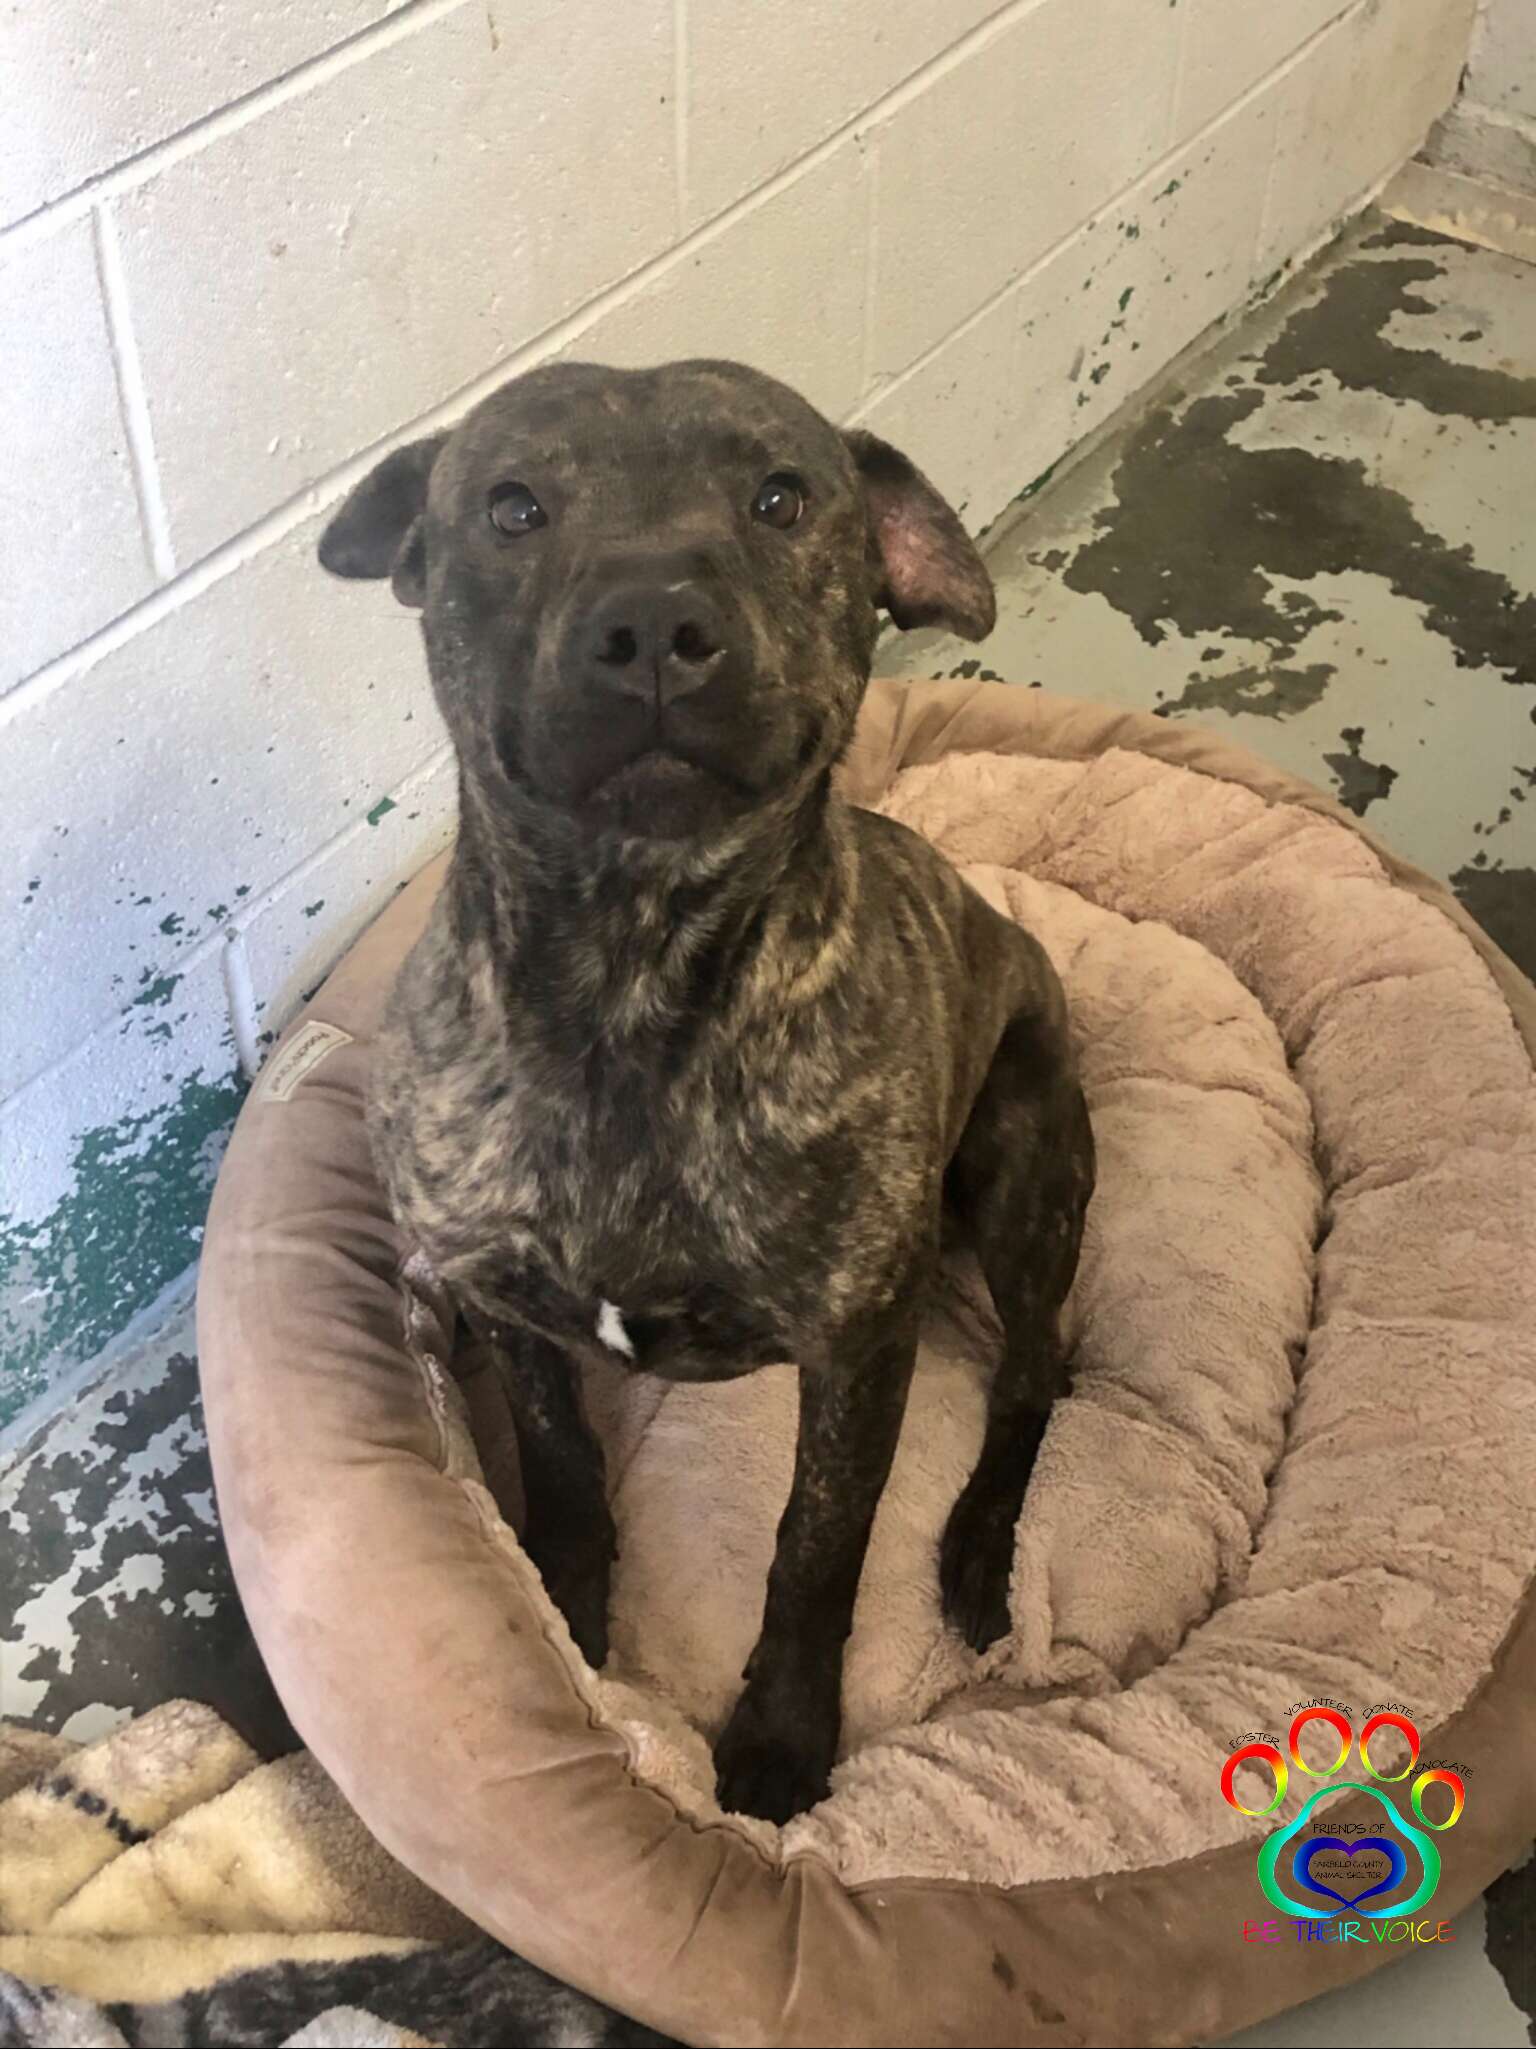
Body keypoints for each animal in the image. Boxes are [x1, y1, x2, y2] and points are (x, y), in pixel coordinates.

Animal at [321, 356, 1097, 1827]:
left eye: (781, 498)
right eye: (512, 507)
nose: (652, 624)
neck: (631, 985)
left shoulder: (857, 1348)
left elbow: (814, 1549)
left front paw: (783, 1735)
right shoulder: (506, 1298)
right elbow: (561, 1462)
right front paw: (560, 1617)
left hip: (1028, 1165)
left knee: (1038, 1371)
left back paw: (980, 1549)